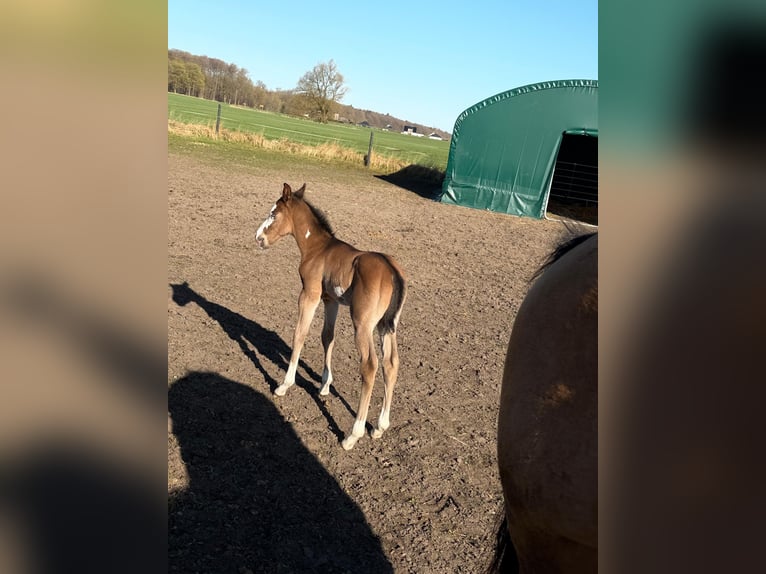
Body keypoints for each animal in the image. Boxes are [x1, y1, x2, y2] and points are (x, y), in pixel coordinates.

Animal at [255, 182, 407, 451]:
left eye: (274, 213)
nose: (258, 238)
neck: (317, 249)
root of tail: (392, 270)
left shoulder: (309, 295)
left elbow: (300, 334)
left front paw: (284, 385)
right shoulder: (330, 301)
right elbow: (328, 337)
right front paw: (325, 385)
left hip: (363, 324)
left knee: (370, 365)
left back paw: (353, 435)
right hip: (386, 326)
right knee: (391, 364)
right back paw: (379, 427)